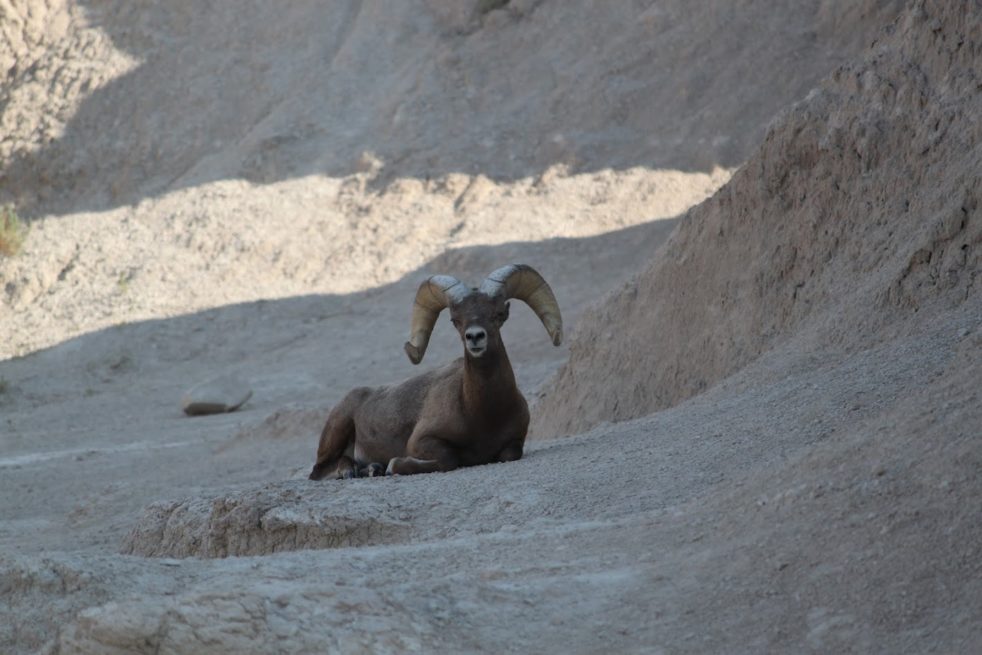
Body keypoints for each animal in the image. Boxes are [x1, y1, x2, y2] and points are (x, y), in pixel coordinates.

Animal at [312, 264, 564, 480]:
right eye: (455, 320)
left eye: (498, 314)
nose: (475, 337)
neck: (483, 413)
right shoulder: (421, 441)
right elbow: (448, 459)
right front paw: (393, 465)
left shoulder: (515, 442)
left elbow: (510, 454)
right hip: (337, 427)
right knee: (319, 470)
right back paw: (352, 471)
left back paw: (372, 469)